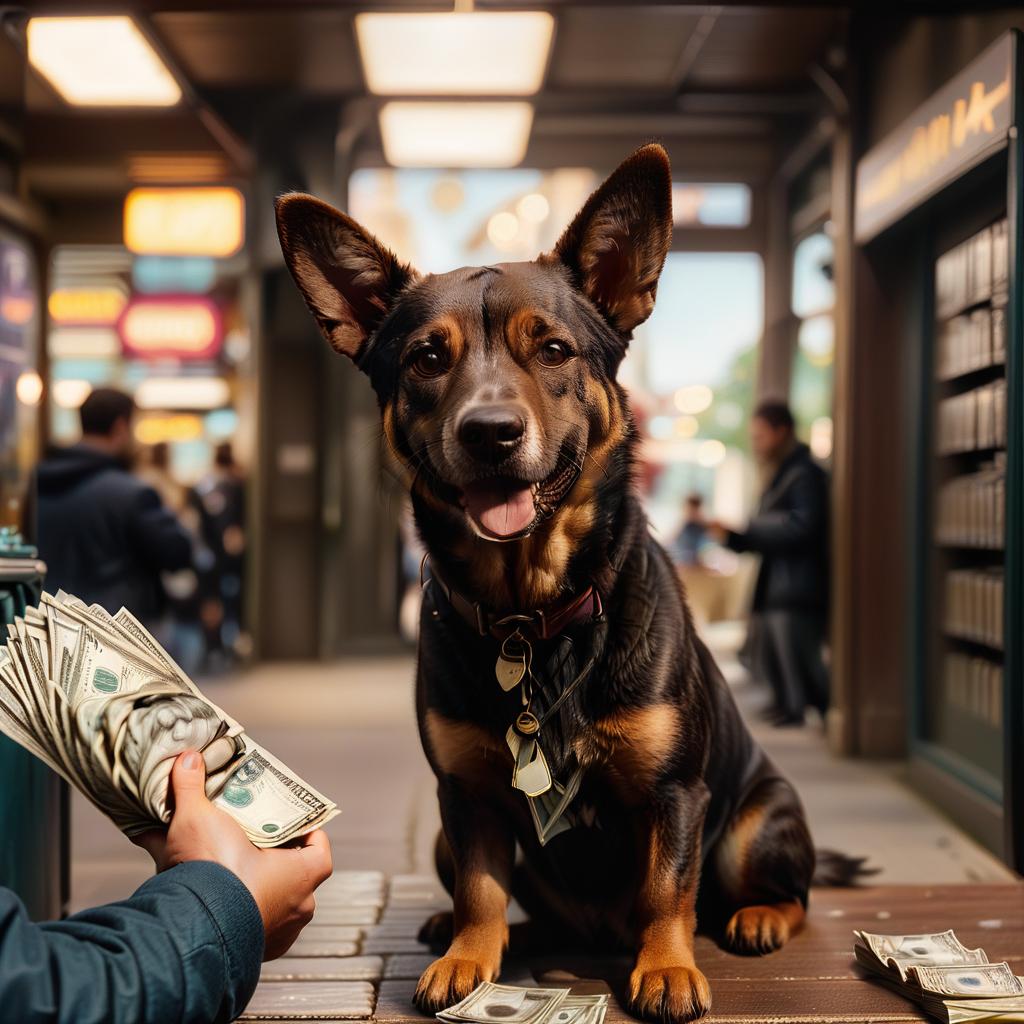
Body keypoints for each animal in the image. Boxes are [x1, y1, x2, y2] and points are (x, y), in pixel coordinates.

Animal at [278, 146, 823, 1024]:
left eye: (556, 351)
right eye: (428, 357)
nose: (490, 433)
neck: (530, 616)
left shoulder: (676, 794)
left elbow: (668, 888)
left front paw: (667, 966)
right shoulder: (464, 795)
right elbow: (482, 889)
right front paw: (471, 956)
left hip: (755, 824)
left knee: (789, 892)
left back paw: (759, 916)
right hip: (447, 836)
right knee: (514, 904)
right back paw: (479, 931)